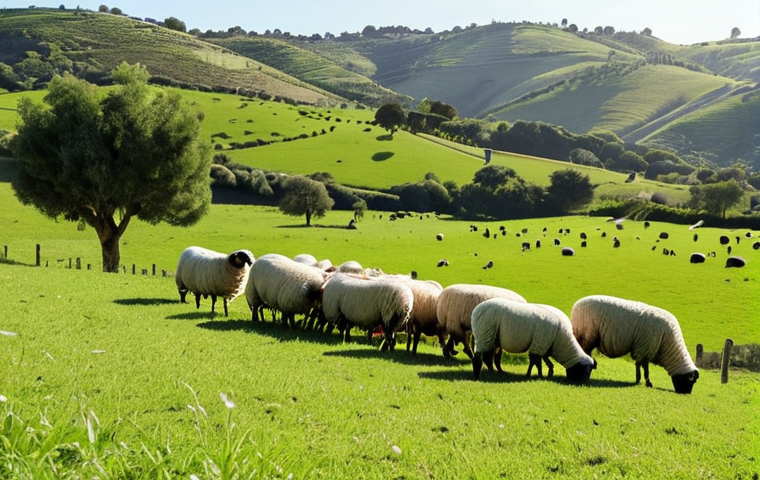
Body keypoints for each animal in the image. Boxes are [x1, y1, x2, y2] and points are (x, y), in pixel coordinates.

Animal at [570, 295, 699, 394]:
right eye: (691, 380)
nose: (687, 393)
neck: (669, 344)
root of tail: (576, 305)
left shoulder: (644, 348)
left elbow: (640, 365)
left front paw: (640, 380)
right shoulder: (645, 348)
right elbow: (644, 368)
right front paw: (645, 382)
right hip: (588, 335)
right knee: (586, 352)